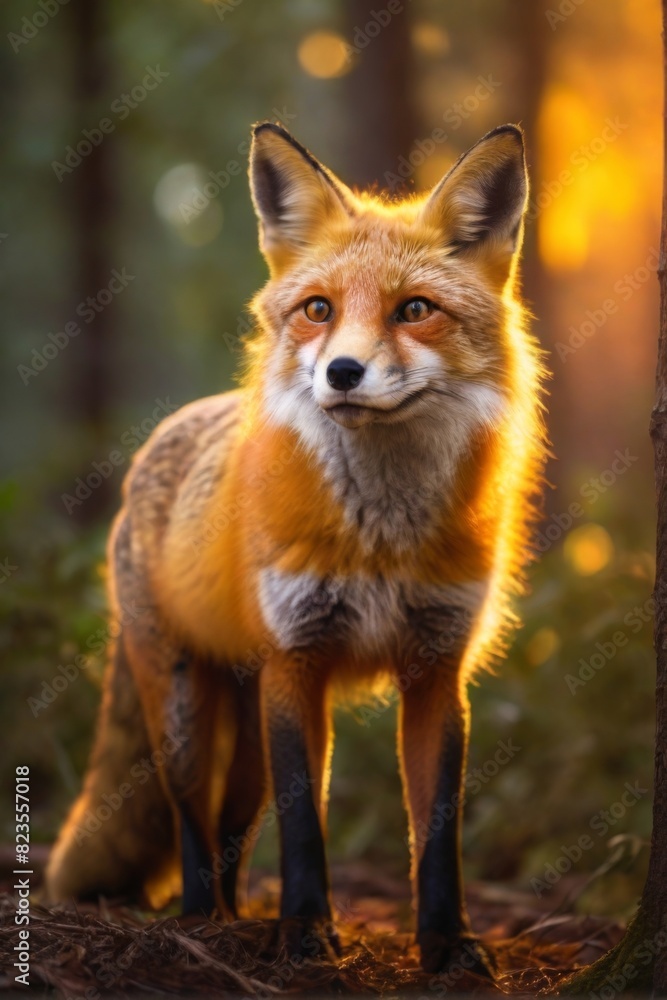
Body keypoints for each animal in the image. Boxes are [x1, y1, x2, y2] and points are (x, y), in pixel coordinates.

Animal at [46, 121, 546, 975]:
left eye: (414, 310)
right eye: (318, 309)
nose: (342, 372)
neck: (380, 536)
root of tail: (168, 431)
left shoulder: (434, 669)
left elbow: (435, 831)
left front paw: (447, 943)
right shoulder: (296, 660)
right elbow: (304, 825)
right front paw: (308, 936)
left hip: (246, 721)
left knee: (234, 822)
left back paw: (237, 916)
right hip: (184, 708)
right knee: (190, 817)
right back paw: (201, 921)